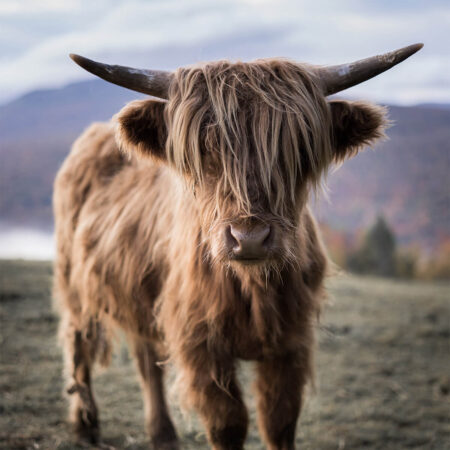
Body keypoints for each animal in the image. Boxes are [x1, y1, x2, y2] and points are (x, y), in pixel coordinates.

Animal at [54, 43, 424, 450]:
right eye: (204, 149)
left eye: (297, 149)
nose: (249, 237)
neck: (253, 288)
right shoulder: (200, 345)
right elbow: (228, 423)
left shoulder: (291, 343)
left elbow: (279, 421)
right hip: (74, 281)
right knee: (78, 343)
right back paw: (85, 423)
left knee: (145, 356)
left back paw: (163, 433)